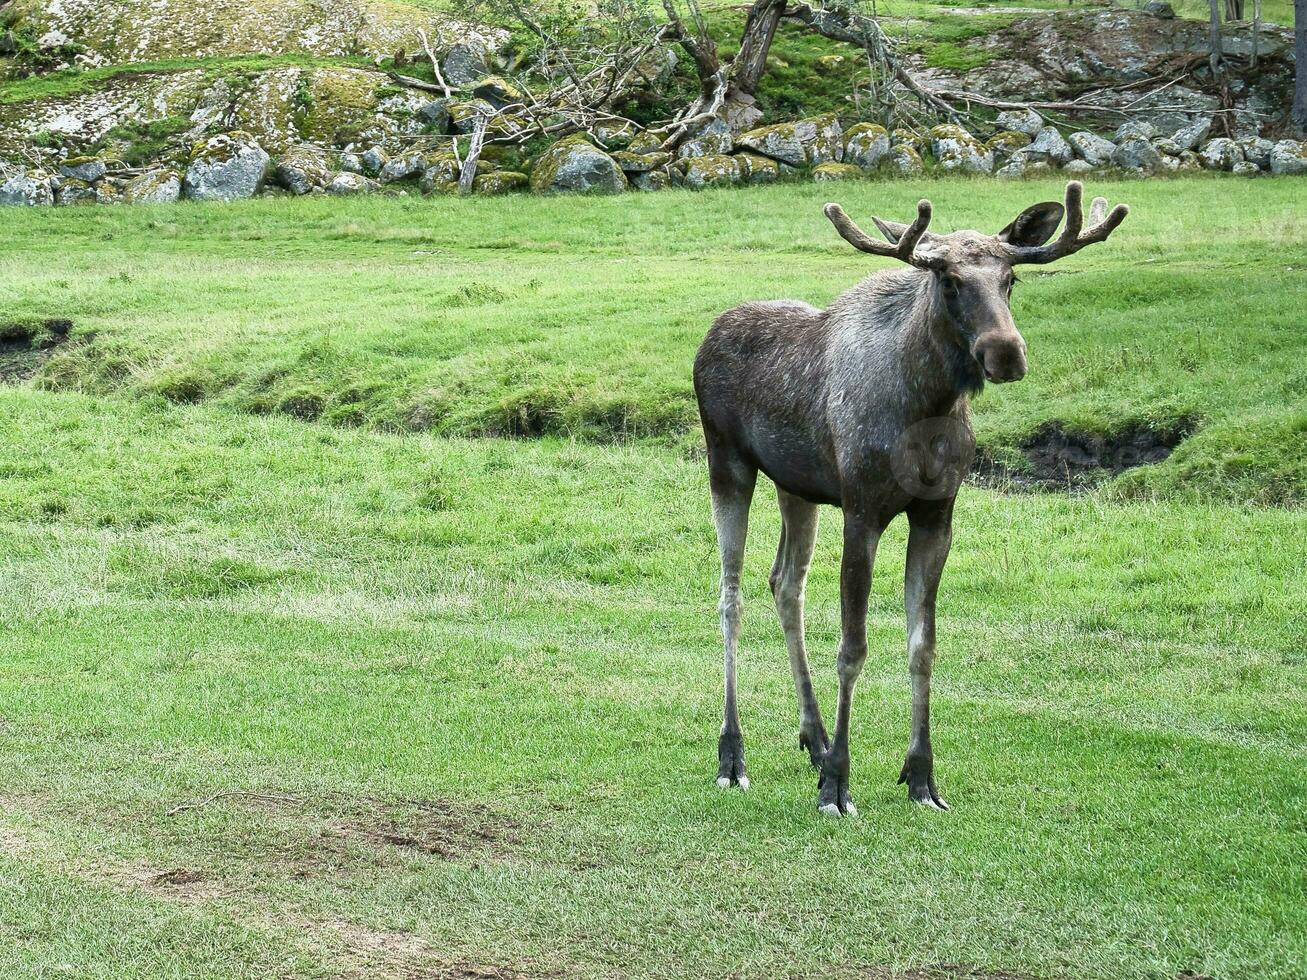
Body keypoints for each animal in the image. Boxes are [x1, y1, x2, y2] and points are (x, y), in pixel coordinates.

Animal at [690, 182, 1129, 815]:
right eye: (949, 281)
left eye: (1011, 279)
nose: (1007, 352)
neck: (928, 408)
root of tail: (705, 339)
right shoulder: (862, 510)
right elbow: (853, 648)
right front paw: (839, 785)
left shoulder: (936, 516)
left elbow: (923, 644)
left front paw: (921, 775)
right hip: (727, 463)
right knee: (731, 595)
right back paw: (733, 755)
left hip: (796, 487)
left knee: (785, 584)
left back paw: (814, 737)